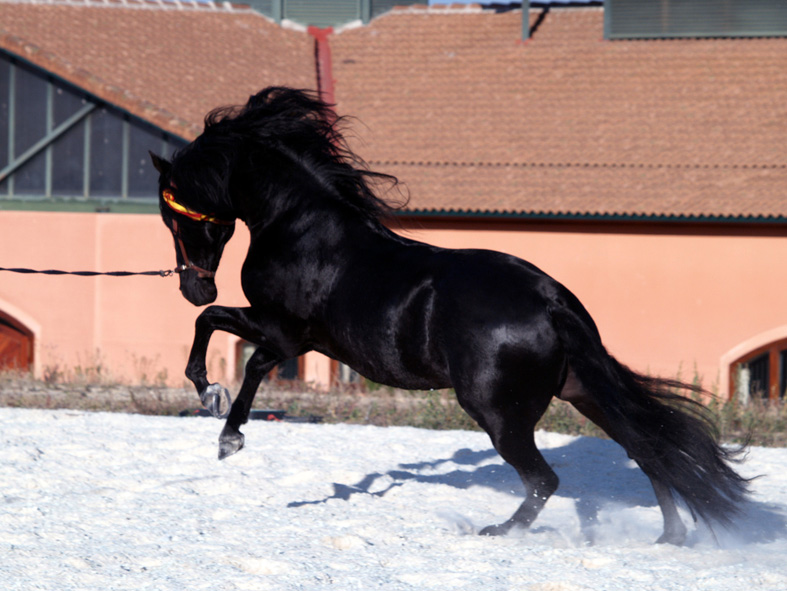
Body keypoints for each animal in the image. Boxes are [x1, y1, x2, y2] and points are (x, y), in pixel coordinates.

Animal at [151, 88, 748, 544]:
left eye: (173, 214)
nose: (193, 287)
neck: (300, 230)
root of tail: (553, 302)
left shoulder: (287, 333)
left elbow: (226, 341)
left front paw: (220, 418)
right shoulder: (294, 340)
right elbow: (232, 344)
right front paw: (220, 413)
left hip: (498, 412)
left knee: (546, 479)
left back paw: (498, 532)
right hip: (583, 392)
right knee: (647, 451)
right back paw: (669, 536)